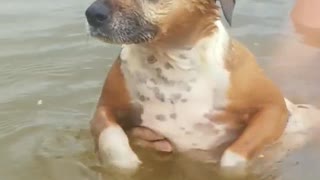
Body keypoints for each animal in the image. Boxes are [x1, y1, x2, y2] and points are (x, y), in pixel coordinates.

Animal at [84, 0, 318, 173]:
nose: (91, 13)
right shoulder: (103, 109)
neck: (169, 62)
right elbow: (114, 146)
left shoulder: (273, 109)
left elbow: (232, 158)